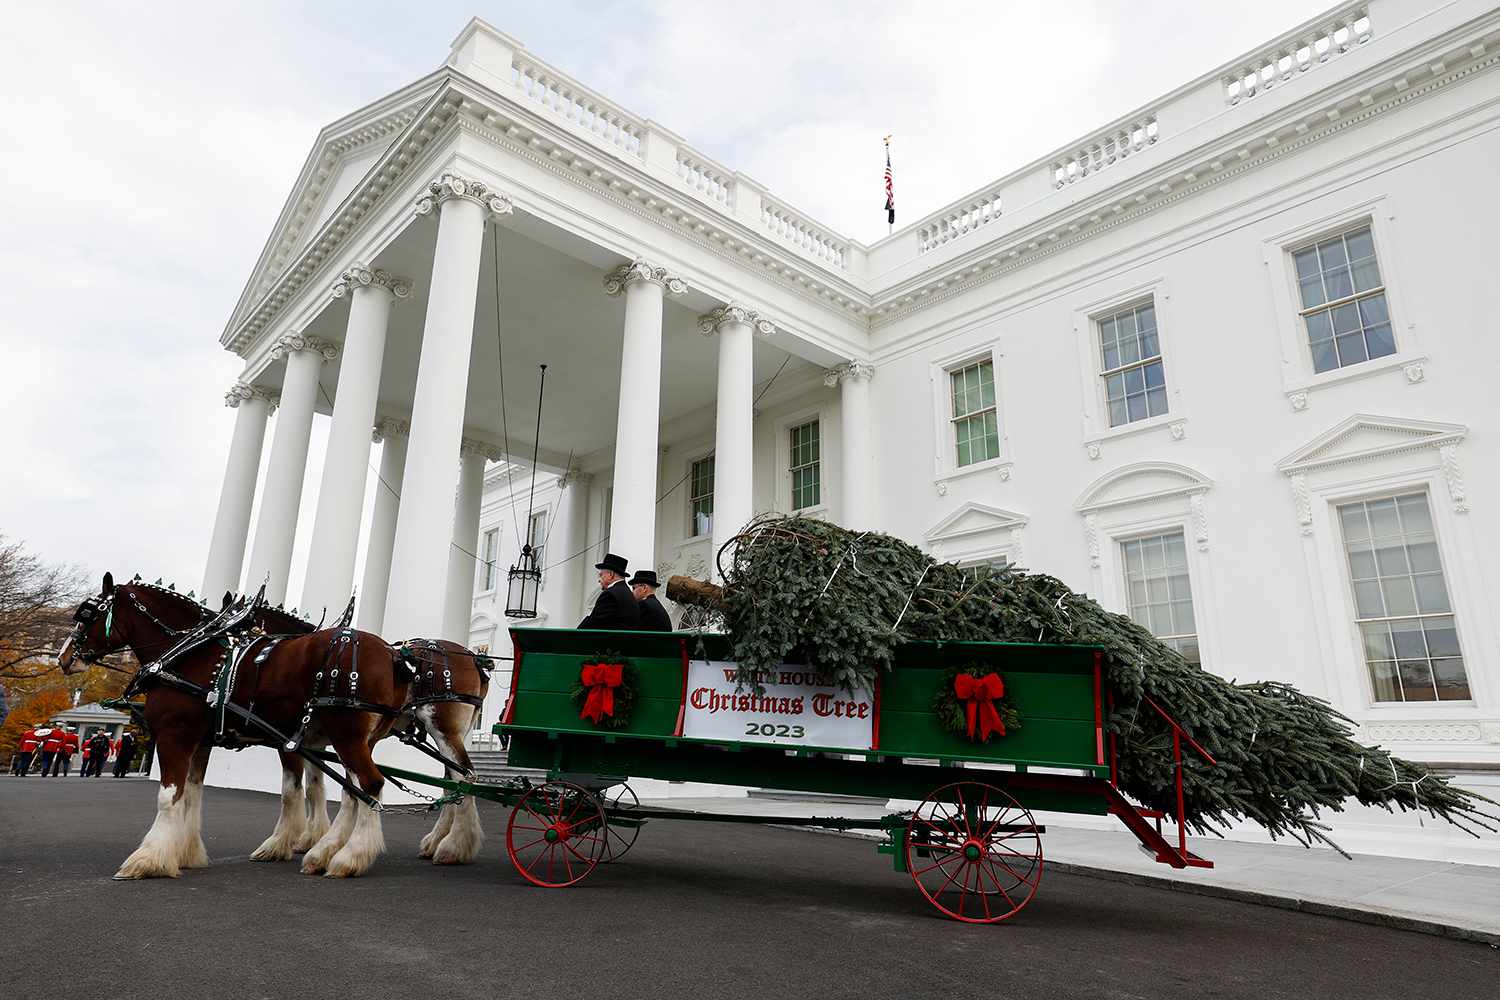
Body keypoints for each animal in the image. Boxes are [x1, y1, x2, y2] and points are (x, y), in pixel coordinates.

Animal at [59, 575, 411, 881]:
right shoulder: (203, 740)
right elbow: (192, 793)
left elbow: (170, 795)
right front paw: (186, 852)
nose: (64, 658)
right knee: (354, 790)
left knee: (370, 784)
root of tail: (391, 654)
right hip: (358, 739)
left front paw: (148, 859)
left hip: (347, 735)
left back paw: (350, 856)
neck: (190, 653)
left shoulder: (176, 733)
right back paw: (329, 851)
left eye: (87, 614)